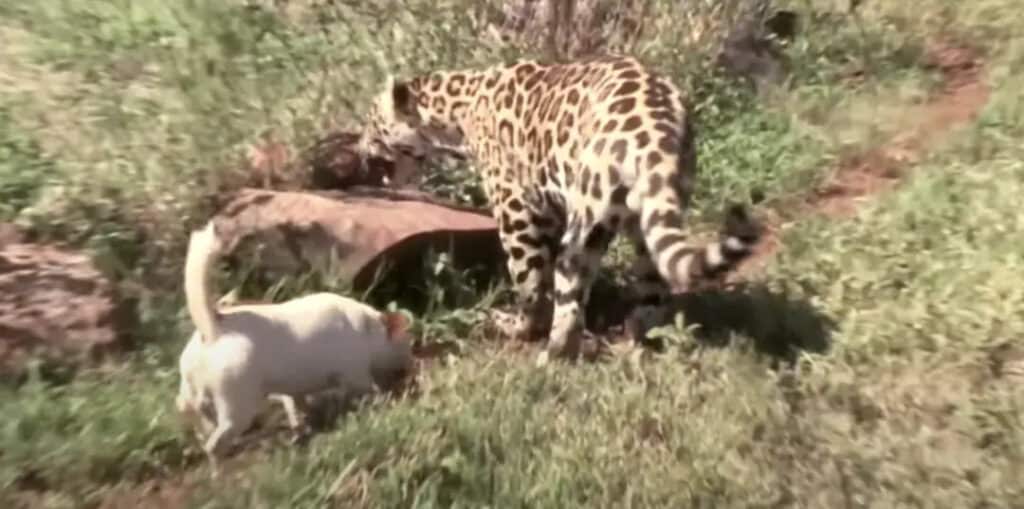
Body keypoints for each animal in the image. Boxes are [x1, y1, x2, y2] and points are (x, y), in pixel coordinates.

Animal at [358, 54, 763, 363]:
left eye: (372, 123)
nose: (360, 146)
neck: (456, 109)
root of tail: (654, 132)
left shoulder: (515, 208)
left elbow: (530, 280)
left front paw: (521, 327)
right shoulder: (547, 208)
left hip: (585, 224)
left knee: (571, 290)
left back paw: (553, 353)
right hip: (647, 219)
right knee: (654, 288)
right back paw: (632, 340)